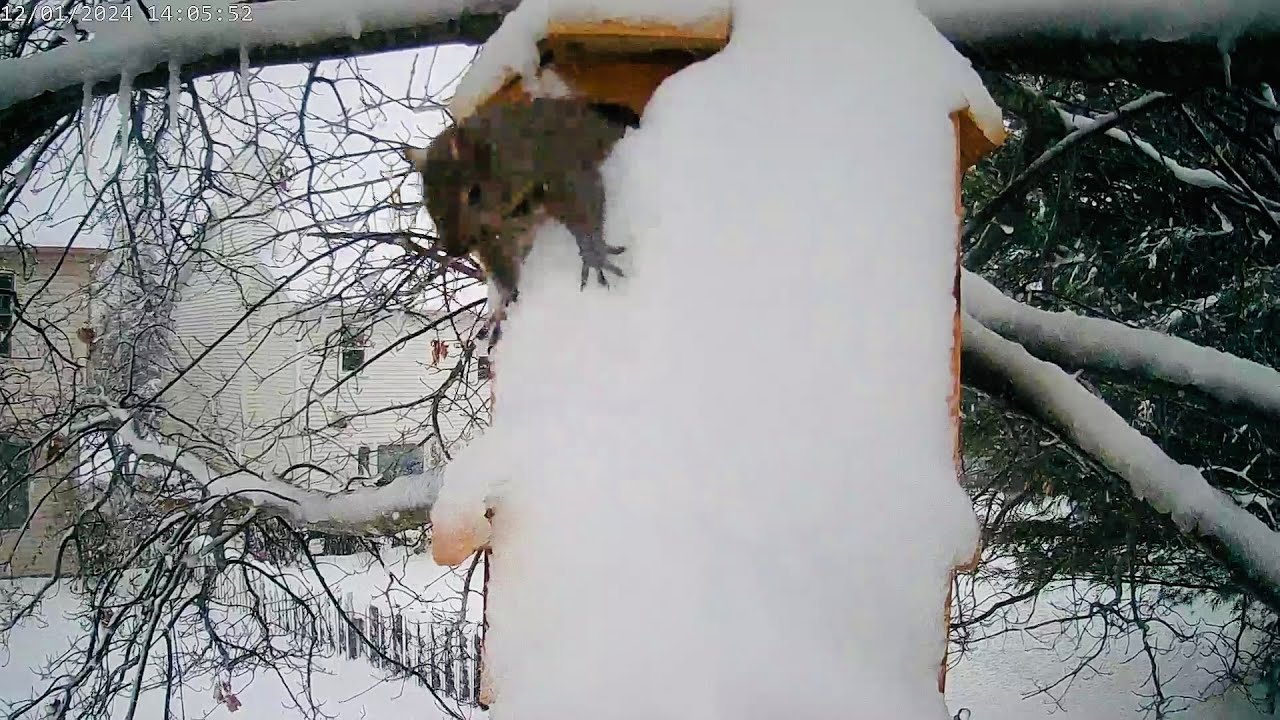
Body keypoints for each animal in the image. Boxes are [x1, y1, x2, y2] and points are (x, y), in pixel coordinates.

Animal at [404, 97, 639, 302]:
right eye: (426, 200)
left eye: (474, 193)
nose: (455, 250)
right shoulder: (496, 234)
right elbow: (501, 260)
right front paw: (508, 296)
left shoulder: (556, 165)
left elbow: (584, 209)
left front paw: (594, 254)